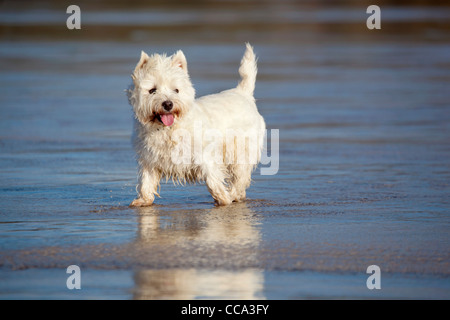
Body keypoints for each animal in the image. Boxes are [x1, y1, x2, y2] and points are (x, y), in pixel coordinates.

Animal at [126, 43, 266, 208]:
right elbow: (146, 182)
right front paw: (143, 200)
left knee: (240, 176)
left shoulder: (206, 155)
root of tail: (243, 93)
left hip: (242, 149)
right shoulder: (149, 159)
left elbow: (213, 180)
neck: (168, 129)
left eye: (176, 90)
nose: (168, 104)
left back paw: (233, 195)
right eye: (152, 90)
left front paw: (223, 198)